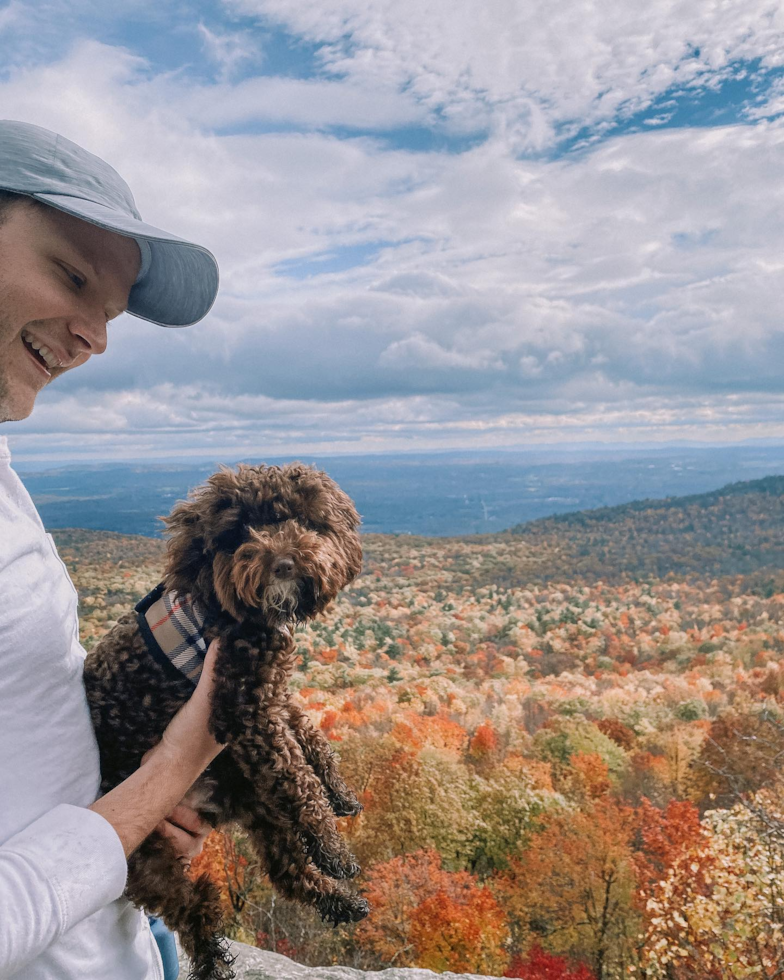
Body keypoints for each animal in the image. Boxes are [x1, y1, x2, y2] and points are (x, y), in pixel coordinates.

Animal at [81, 466, 370, 980]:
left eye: (304, 521)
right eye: (239, 533)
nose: (283, 563)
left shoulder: (273, 694)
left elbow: (311, 739)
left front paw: (340, 794)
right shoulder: (246, 713)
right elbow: (299, 780)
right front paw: (333, 846)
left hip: (257, 803)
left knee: (287, 873)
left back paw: (342, 903)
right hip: (147, 858)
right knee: (196, 906)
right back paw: (215, 963)